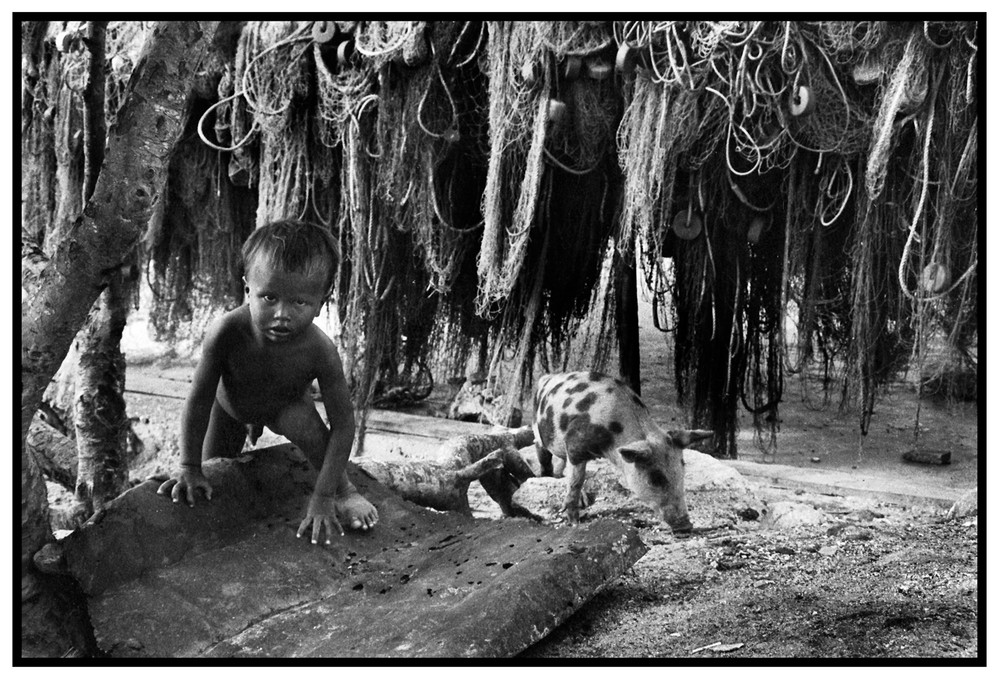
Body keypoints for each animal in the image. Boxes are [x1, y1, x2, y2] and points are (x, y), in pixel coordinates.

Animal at [532, 372, 712, 532]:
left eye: (682, 472)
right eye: (655, 479)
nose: (686, 526)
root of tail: (546, 377)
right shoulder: (574, 446)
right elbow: (576, 481)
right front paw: (574, 522)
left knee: (561, 466)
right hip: (538, 434)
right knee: (544, 457)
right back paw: (546, 475)